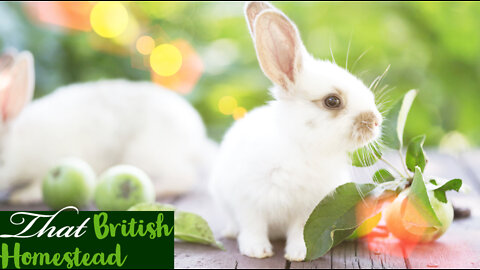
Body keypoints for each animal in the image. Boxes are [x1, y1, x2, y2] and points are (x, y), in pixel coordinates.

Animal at [0, 49, 218, 205]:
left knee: (184, 177)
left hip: (145, 154)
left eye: (1, 160)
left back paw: (161, 189)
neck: (18, 145)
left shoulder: (51, 162)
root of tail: (197, 139)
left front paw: (22, 196)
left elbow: (37, 185)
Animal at [210, 1, 382, 262]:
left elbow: (299, 230)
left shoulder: (308, 209)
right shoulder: (248, 201)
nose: (375, 122)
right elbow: (253, 226)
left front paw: (299, 253)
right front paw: (257, 251)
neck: (301, 146)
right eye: (332, 101)